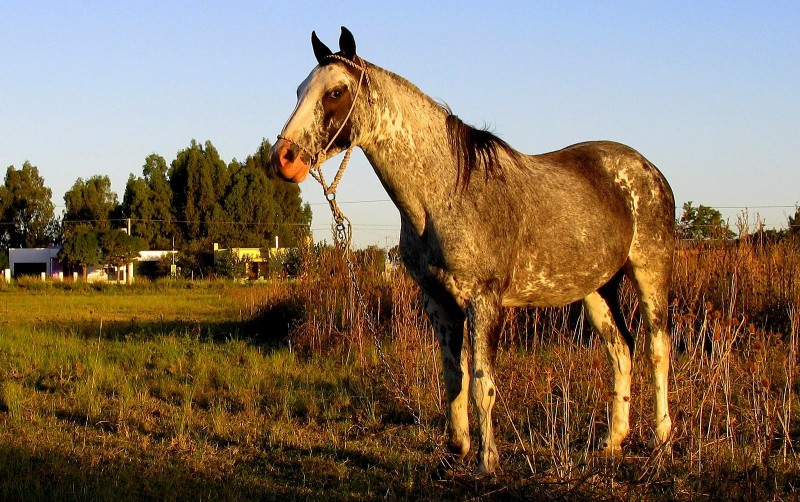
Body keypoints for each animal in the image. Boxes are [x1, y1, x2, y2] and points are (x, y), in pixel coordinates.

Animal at [268, 27, 676, 474]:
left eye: (336, 92)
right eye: (300, 89)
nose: (283, 158)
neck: (447, 193)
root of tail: (647, 169)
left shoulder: (484, 303)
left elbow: (483, 383)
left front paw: (487, 460)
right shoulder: (439, 303)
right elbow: (453, 377)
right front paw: (456, 449)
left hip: (650, 273)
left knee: (657, 348)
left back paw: (662, 439)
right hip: (597, 289)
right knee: (621, 351)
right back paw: (612, 441)